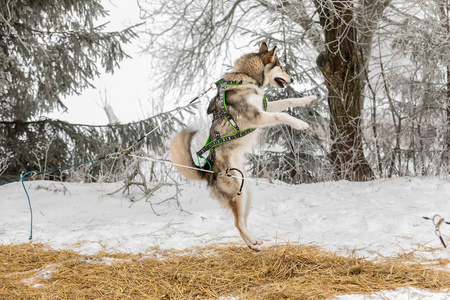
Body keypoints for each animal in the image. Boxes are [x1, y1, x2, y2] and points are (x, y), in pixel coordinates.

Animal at [171, 41, 314, 250]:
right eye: (280, 66)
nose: (292, 78)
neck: (246, 79)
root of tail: (209, 171)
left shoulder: (264, 108)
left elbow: (286, 101)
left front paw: (306, 99)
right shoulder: (257, 116)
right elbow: (282, 114)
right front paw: (300, 124)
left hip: (246, 194)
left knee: (242, 222)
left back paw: (253, 242)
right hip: (238, 195)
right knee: (237, 223)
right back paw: (253, 243)